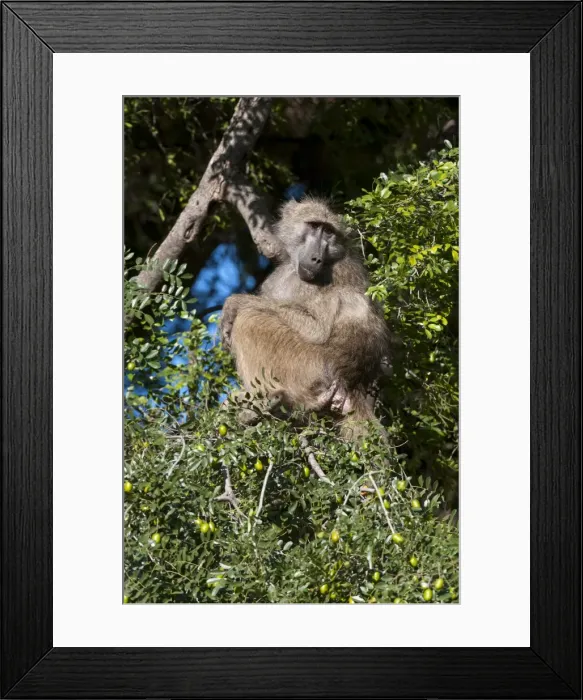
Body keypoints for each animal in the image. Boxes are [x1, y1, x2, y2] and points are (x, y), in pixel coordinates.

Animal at [220, 196, 390, 440]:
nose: (316, 258)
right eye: (314, 226)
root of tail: (352, 384)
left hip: (308, 367)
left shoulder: (338, 274)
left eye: (329, 232)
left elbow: (317, 328)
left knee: (249, 320)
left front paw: (235, 303)